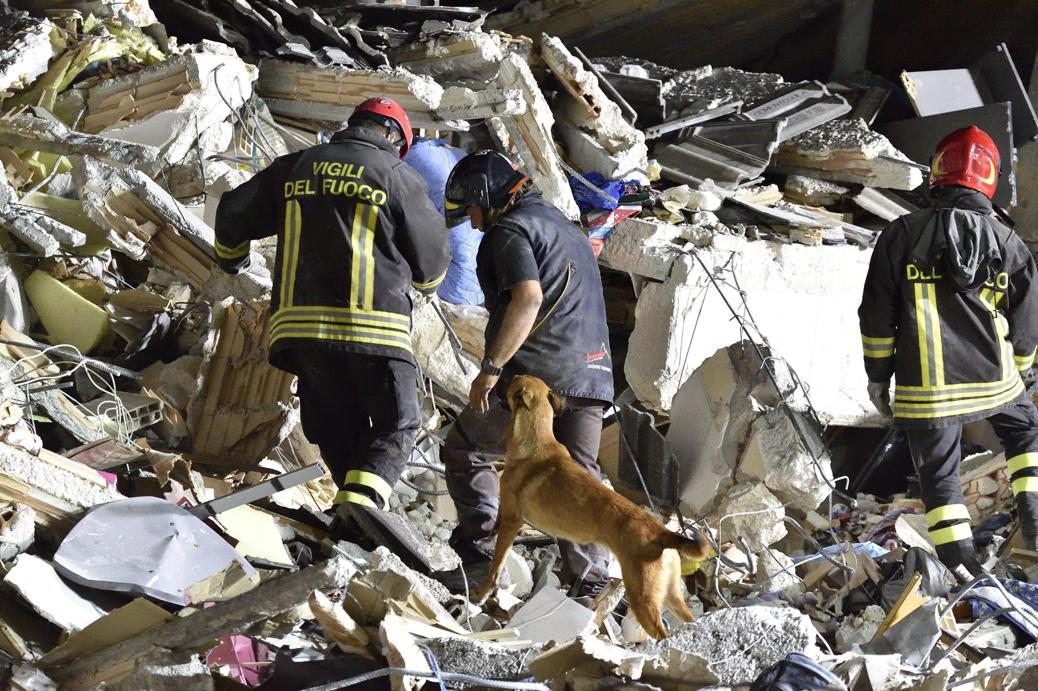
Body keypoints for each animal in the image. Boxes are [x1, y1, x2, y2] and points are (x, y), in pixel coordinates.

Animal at [473, 373, 709, 639]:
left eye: (513, 378)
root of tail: (663, 533)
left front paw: (482, 593)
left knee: (660, 633)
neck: (537, 441)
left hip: (642, 596)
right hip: (671, 595)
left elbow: (495, 566)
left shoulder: (512, 521)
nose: (494, 383)